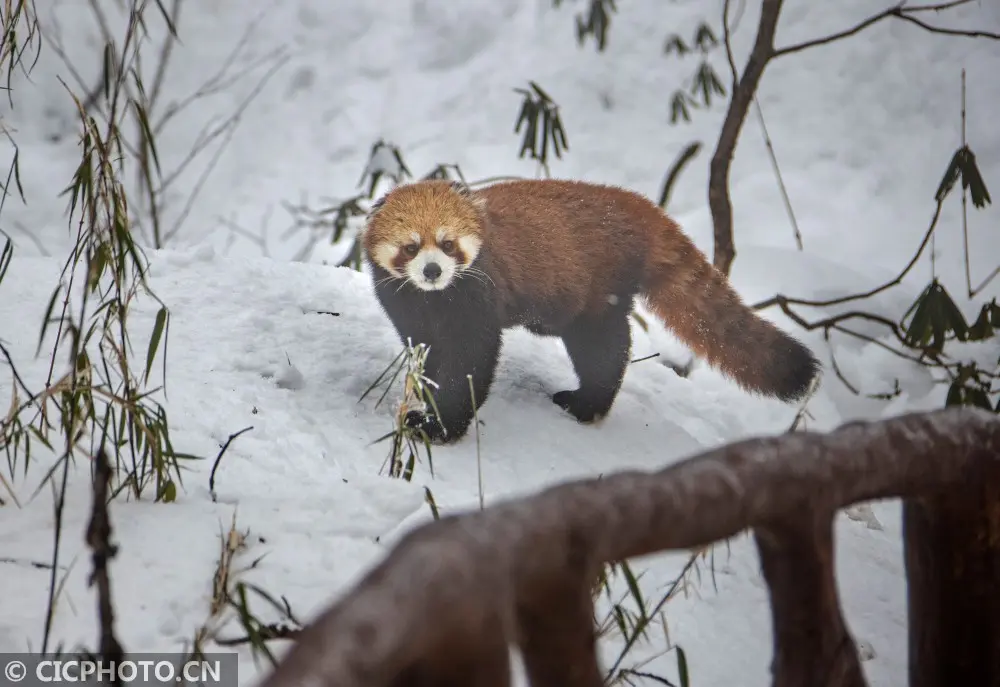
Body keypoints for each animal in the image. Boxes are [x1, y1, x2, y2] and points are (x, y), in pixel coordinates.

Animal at [364, 180, 816, 444]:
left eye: (447, 243)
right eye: (410, 247)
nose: (433, 271)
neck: (434, 297)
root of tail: (640, 206)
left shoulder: (477, 295)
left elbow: (470, 361)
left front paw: (439, 425)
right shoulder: (405, 303)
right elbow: (426, 347)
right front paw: (423, 393)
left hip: (595, 291)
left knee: (604, 348)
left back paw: (587, 402)